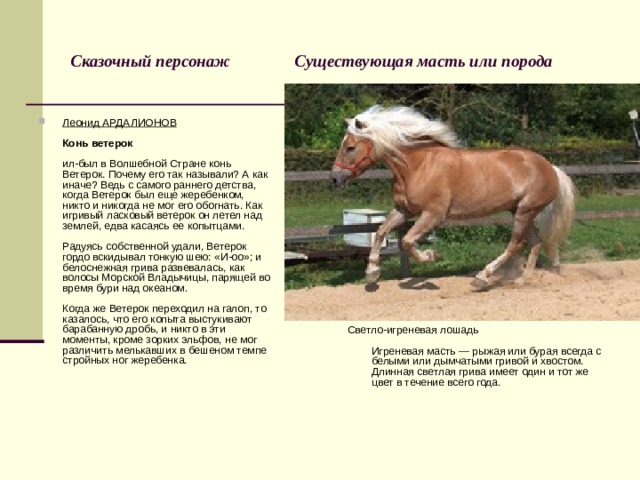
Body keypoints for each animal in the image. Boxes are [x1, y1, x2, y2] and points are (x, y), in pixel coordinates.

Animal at [330, 105, 575, 289]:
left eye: (350, 147)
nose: (334, 178)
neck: (417, 166)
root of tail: (550, 167)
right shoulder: (404, 210)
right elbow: (381, 231)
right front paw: (372, 273)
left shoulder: (434, 214)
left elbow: (407, 241)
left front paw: (432, 256)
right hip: (520, 211)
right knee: (535, 242)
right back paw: (523, 280)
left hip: (525, 211)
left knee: (515, 244)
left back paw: (482, 277)